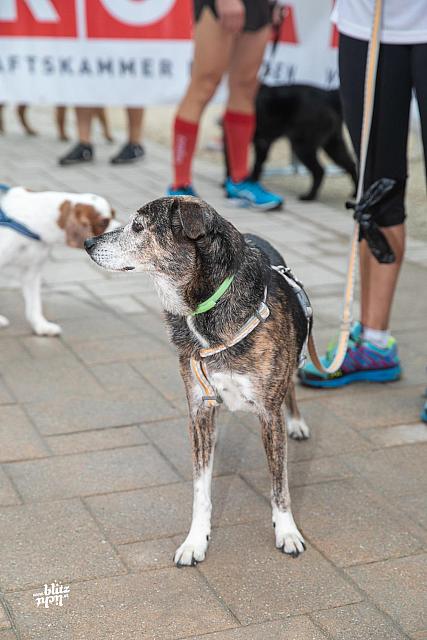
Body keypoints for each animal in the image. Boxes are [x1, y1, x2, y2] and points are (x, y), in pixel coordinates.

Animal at [84, 195, 310, 564]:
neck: (207, 307)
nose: (88, 243)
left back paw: (298, 423)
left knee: (290, 386)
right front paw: (195, 541)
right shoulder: (200, 408)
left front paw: (288, 532)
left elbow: (279, 484)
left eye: (138, 226)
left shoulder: (268, 414)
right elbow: (200, 489)